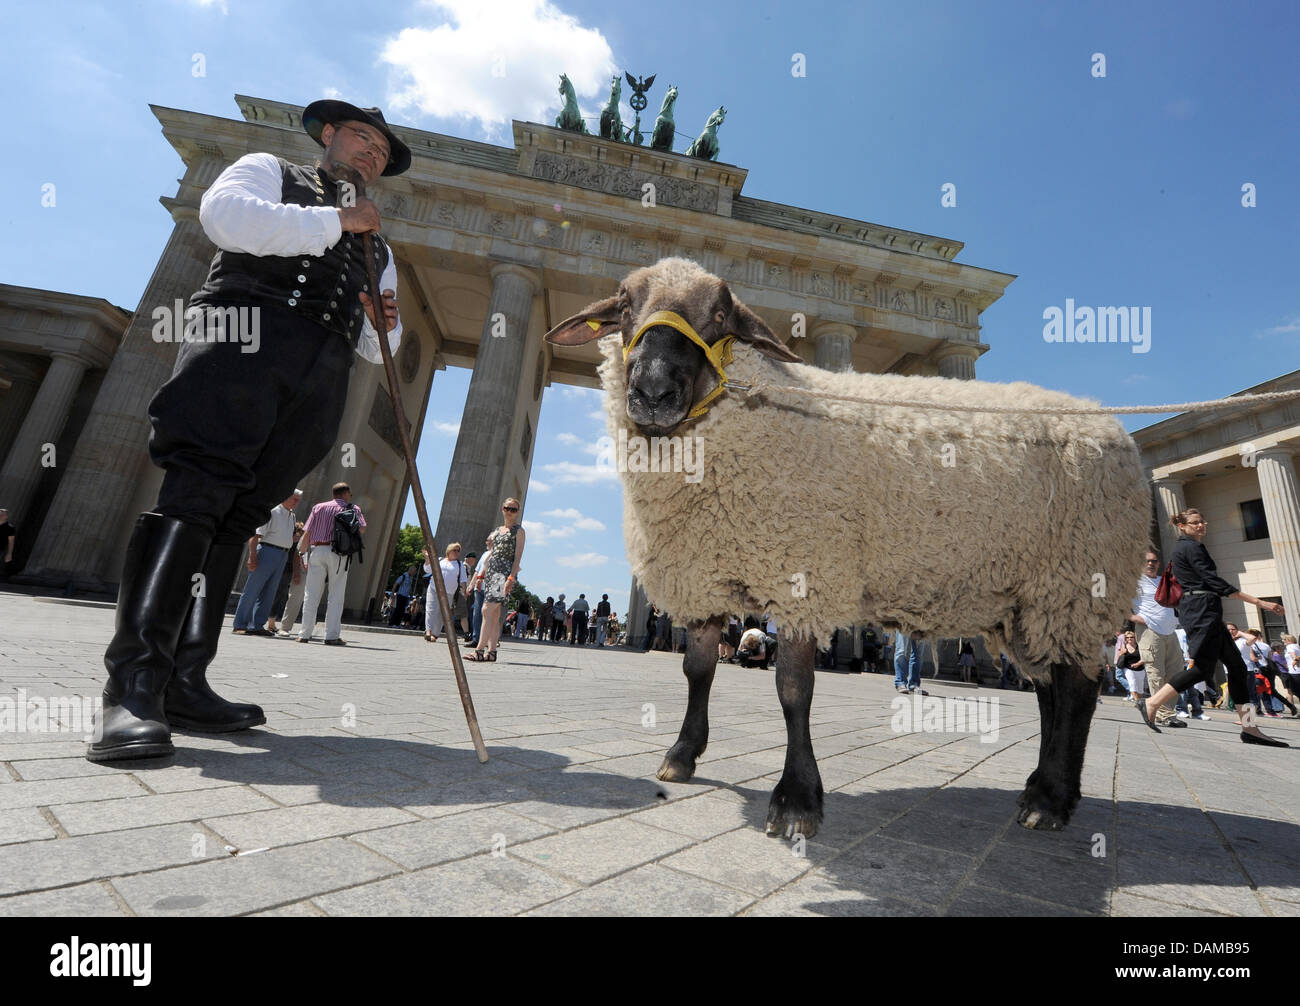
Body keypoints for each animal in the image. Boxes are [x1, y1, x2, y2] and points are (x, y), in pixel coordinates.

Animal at [546, 256, 1149, 837]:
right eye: (625, 304)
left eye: (720, 314)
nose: (652, 391)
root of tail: (1114, 427)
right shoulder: (703, 577)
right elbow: (698, 671)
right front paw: (682, 756)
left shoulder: (802, 573)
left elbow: (793, 687)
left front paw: (796, 800)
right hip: (1030, 603)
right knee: (1050, 689)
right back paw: (1042, 790)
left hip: (1075, 583)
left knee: (1076, 690)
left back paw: (1049, 802)